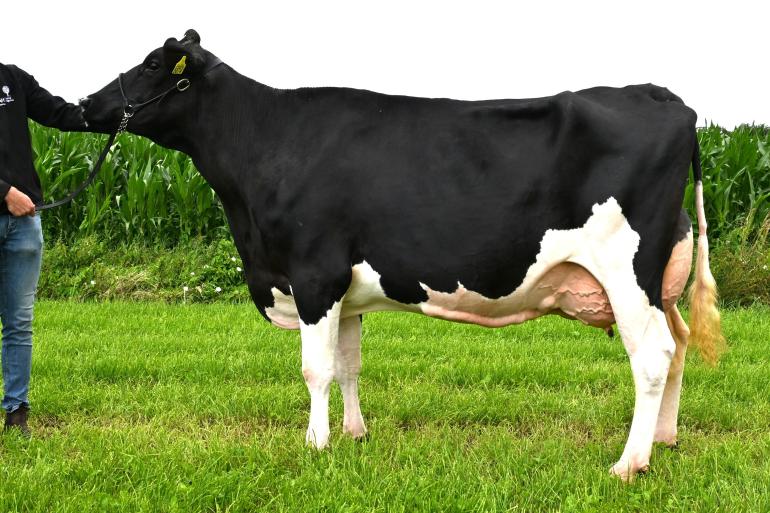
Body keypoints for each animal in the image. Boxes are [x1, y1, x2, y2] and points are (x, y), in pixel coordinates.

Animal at [81, 29, 724, 481]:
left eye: (153, 65)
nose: (85, 103)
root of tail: (663, 96)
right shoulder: (344, 291)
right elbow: (347, 364)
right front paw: (354, 435)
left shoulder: (314, 274)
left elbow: (315, 368)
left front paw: (315, 445)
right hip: (662, 278)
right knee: (680, 346)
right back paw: (664, 439)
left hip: (627, 271)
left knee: (652, 356)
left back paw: (629, 464)